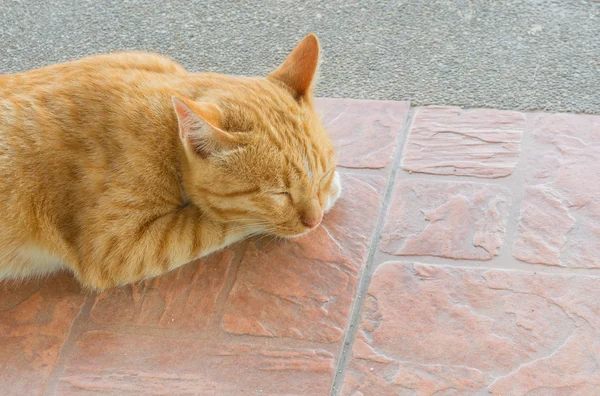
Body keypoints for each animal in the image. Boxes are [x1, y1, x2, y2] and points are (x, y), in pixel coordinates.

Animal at [0, 34, 340, 290]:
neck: (166, 131)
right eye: (278, 194)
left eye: (322, 176)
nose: (315, 221)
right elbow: (214, 222)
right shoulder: (115, 248)